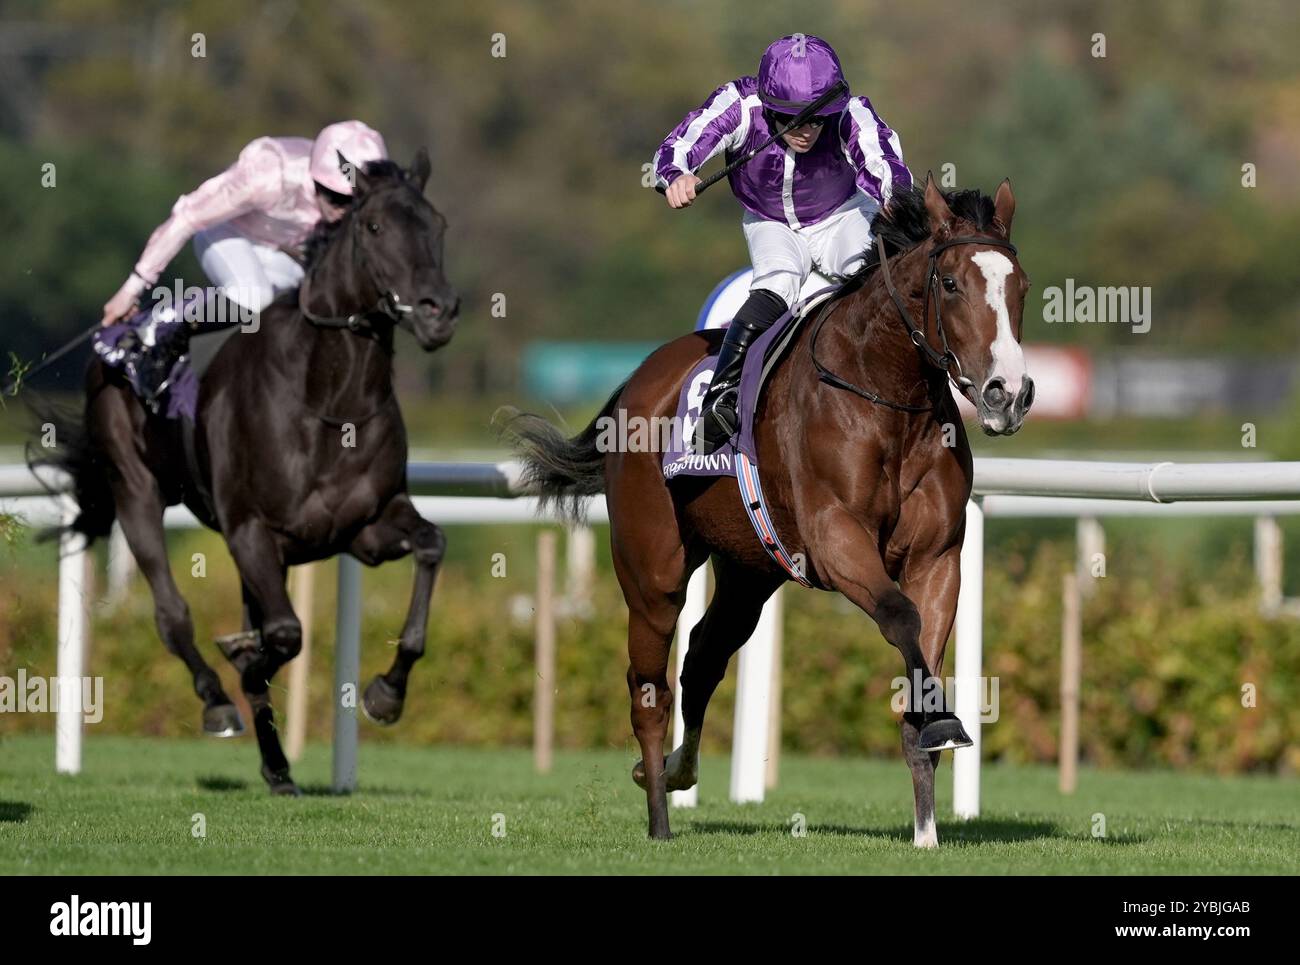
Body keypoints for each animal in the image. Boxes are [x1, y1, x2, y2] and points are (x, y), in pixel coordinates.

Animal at [43, 150, 460, 795]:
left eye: (436, 225)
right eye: (374, 227)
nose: (439, 312)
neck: (329, 400)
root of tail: (113, 343)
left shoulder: (363, 529)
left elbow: (431, 546)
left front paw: (386, 695)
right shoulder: (251, 531)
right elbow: (283, 636)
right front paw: (242, 663)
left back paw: (278, 767)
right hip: (136, 491)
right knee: (172, 615)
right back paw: (217, 702)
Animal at [512, 178, 1029, 842]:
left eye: (1022, 286)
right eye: (950, 283)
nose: (1008, 394)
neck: (887, 397)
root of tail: (641, 375)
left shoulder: (937, 557)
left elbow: (923, 664)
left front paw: (927, 828)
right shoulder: (835, 540)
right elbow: (899, 617)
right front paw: (939, 731)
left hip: (748, 573)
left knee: (703, 656)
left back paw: (677, 771)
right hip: (653, 575)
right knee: (648, 687)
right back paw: (659, 817)